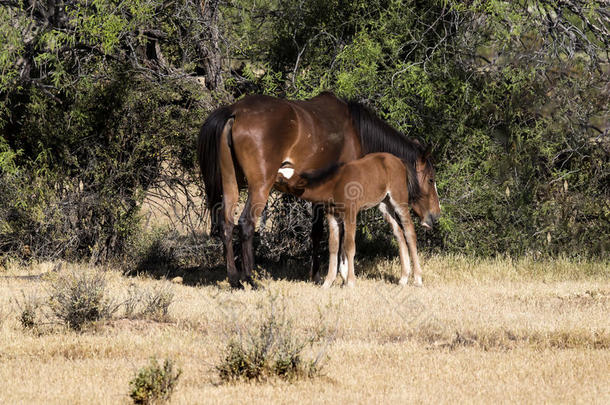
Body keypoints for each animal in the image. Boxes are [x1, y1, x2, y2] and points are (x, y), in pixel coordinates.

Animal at [276, 152, 436, 288]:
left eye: (281, 179)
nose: (269, 179)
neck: (335, 184)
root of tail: (399, 161)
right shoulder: (332, 216)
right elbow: (333, 246)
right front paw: (327, 282)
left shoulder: (350, 214)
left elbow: (349, 246)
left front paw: (350, 282)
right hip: (384, 205)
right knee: (399, 233)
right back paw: (403, 278)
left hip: (399, 201)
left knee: (409, 232)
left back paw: (417, 279)